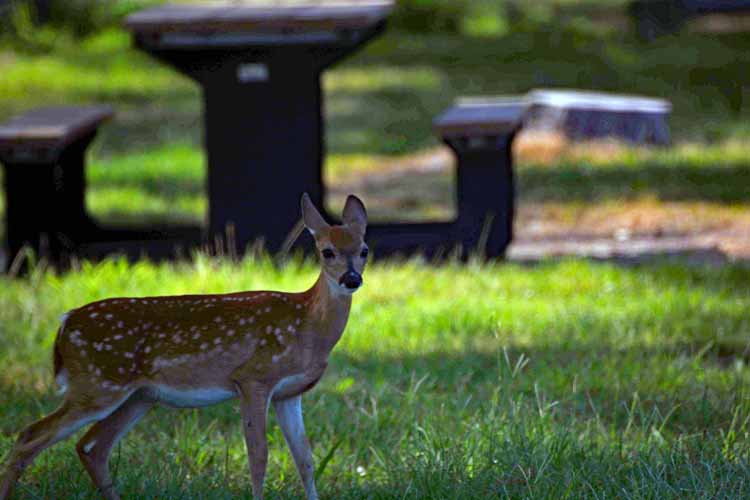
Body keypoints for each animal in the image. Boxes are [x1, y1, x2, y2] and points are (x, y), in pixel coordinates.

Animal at [0, 193, 369, 500]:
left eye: (364, 250)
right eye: (327, 251)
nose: (351, 279)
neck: (307, 326)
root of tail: (65, 323)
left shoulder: (288, 393)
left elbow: (305, 459)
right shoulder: (253, 378)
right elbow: (259, 456)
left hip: (138, 396)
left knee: (92, 446)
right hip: (97, 384)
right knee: (30, 436)